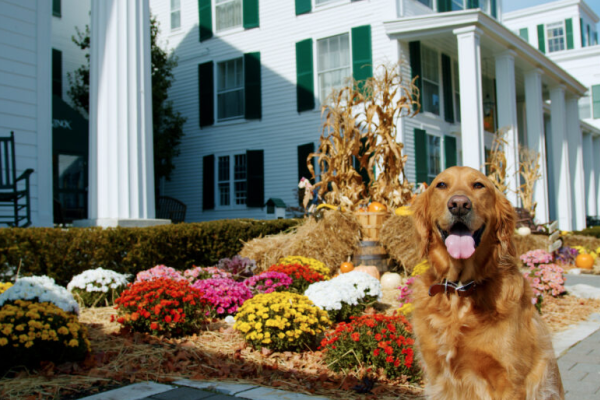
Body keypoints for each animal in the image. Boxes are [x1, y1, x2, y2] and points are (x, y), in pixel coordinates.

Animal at [408, 165, 564, 396]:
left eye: (478, 185)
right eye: (441, 184)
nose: (459, 205)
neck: (460, 290)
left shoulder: (510, 380)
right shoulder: (439, 376)